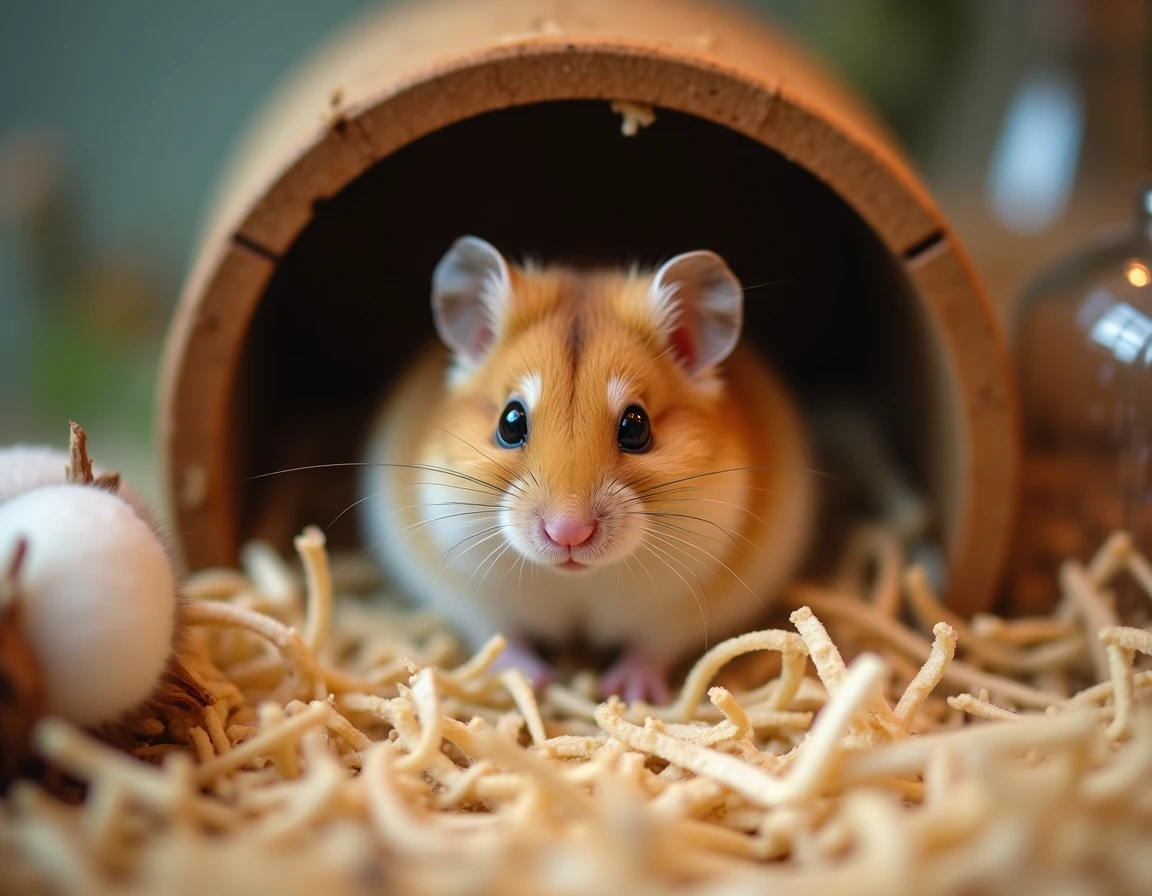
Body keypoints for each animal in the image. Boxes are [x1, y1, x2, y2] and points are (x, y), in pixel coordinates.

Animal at [359, 237, 816, 702]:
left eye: (635, 426)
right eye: (510, 422)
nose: (568, 534)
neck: (576, 581)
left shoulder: (682, 607)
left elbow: (652, 644)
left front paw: (630, 694)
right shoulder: (471, 594)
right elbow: (501, 636)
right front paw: (527, 682)